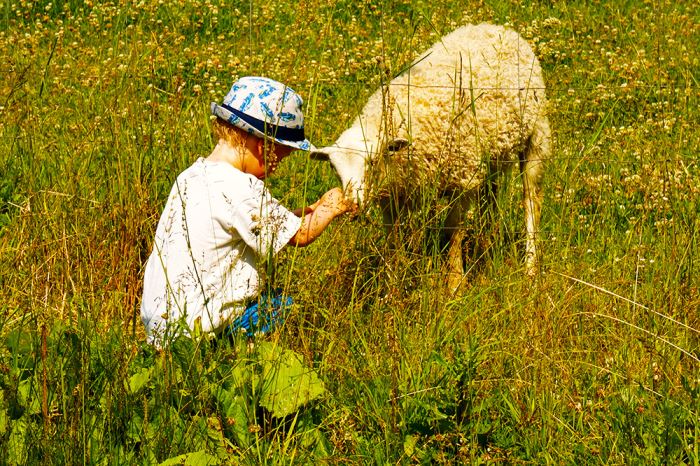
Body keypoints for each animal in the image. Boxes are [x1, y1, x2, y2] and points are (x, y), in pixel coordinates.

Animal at [314, 23, 552, 290]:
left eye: (372, 161)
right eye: (334, 169)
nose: (353, 206)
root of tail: (498, 28)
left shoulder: (462, 180)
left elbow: (453, 234)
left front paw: (455, 284)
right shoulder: (392, 197)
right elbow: (393, 239)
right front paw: (392, 285)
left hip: (537, 138)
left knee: (531, 202)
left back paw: (530, 269)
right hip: (492, 155)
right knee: (490, 197)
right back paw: (488, 243)